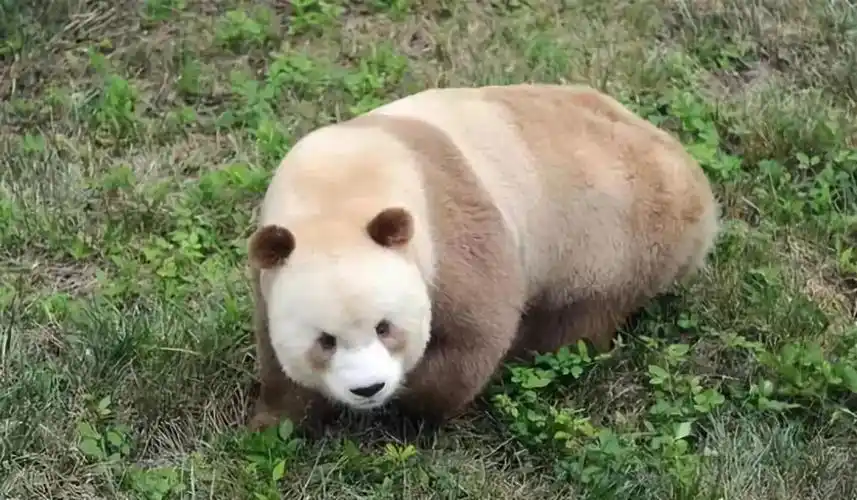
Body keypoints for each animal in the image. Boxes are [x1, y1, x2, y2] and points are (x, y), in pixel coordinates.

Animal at [244, 83, 720, 433]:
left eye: (385, 327)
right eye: (325, 340)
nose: (369, 389)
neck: (338, 193)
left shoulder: (451, 227)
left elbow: (476, 333)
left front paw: (412, 402)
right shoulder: (270, 271)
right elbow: (275, 354)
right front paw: (274, 424)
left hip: (616, 241)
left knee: (578, 321)